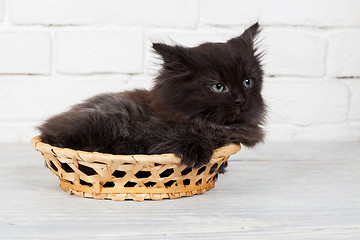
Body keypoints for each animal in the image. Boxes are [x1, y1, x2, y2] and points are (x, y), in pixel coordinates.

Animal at [38, 22, 264, 169]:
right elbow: (174, 135)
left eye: (248, 82)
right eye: (218, 87)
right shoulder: (148, 129)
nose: (241, 100)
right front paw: (196, 150)